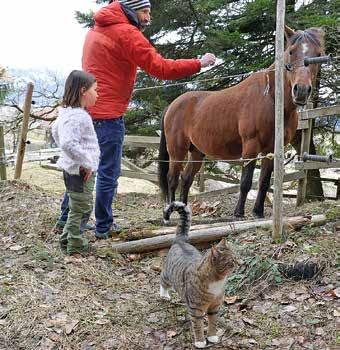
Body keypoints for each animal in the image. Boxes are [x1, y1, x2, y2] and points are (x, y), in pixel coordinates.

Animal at [158, 26, 326, 219]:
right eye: (291, 51)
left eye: (318, 54)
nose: (301, 90)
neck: (270, 98)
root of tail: (172, 105)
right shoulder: (251, 146)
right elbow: (246, 181)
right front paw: (239, 212)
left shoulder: (271, 150)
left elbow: (264, 181)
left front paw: (258, 212)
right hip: (177, 151)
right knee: (172, 179)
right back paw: (170, 212)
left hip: (197, 152)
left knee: (186, 179)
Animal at [160, 201, 238, 348]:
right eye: (231, 261)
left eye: (237, 257)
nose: (241, 263)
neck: (217, 281)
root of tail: (181, 241)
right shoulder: (196, 309)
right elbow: (198, 325)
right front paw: (200, 341)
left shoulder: (215, 306)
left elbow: (213, 322)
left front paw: (212, 336)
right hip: (167, 274)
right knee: (162, 281)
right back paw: (164, 294)